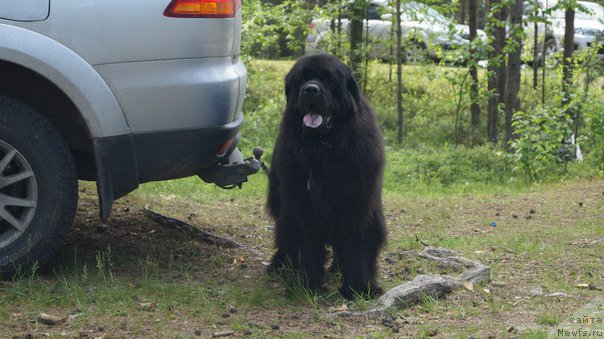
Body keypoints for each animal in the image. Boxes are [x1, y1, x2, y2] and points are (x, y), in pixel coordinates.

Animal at [268, 53, 386, 300]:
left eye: (328, 79)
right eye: (301, 80)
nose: (311, 90)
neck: (324, 151)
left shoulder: (357, 203)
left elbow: (356, 243)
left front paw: (359, 287)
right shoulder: (301, 204)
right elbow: (304, 244)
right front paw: (307, 286)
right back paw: (278, 265)